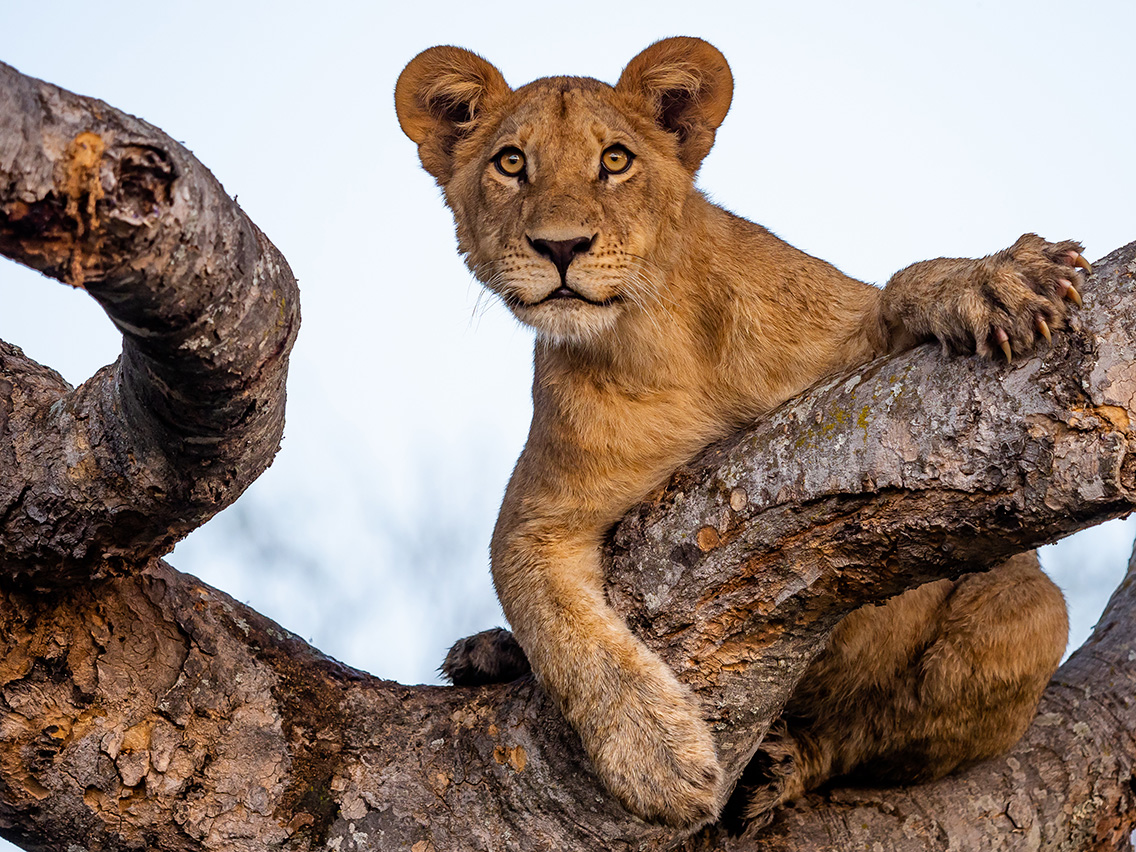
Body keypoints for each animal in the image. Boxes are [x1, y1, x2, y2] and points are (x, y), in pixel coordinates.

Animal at [395, 37, 1079, 829]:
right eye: (511, 163)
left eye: (615, 160)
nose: (561, 247)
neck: (656, 334)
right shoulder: (537, 518)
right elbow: (562, 632)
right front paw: (656, 760)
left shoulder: (856, 363)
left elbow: (901, 289)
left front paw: (995, 281)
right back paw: (489, 653)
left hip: (1028, 609)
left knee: (862, 733)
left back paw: (776, 770)